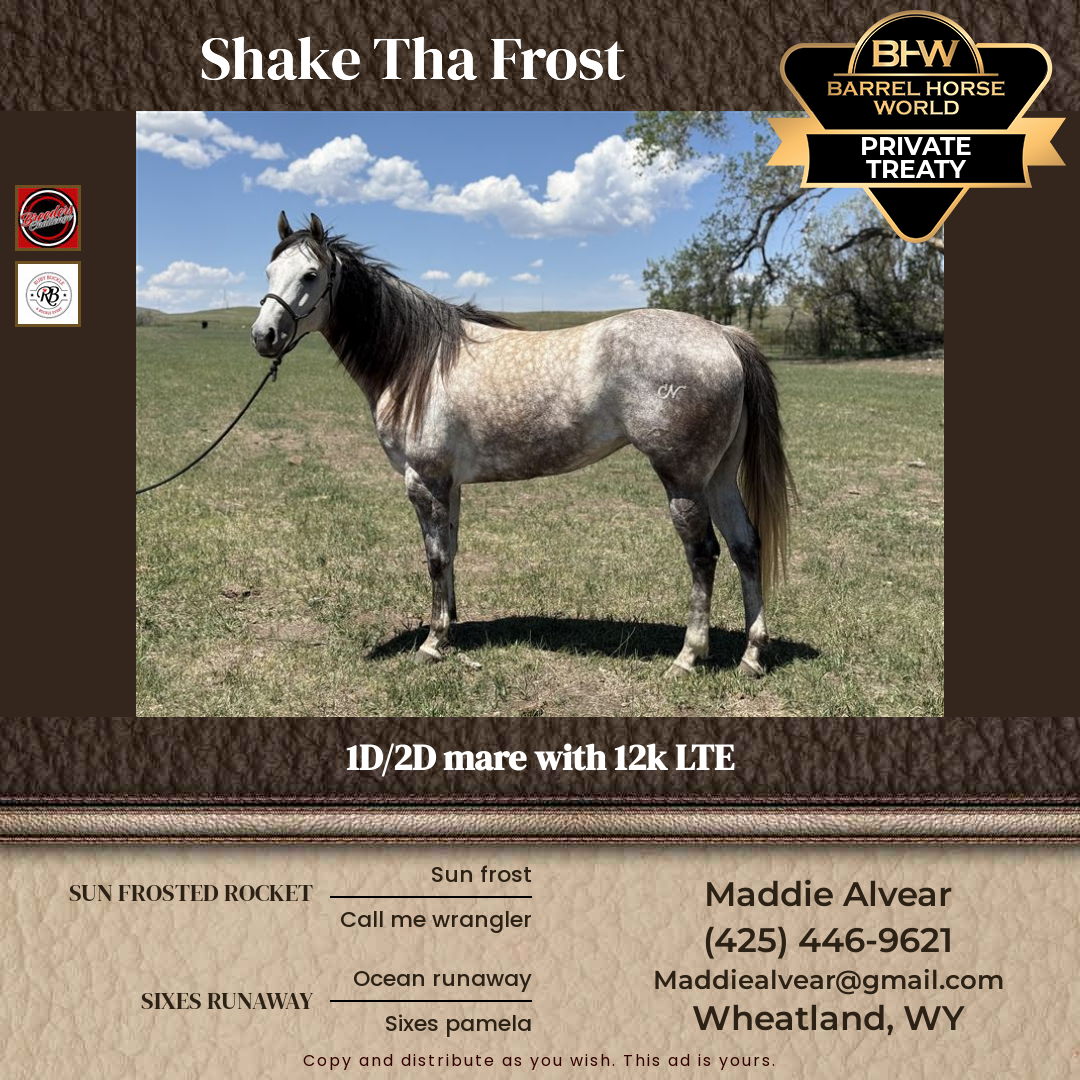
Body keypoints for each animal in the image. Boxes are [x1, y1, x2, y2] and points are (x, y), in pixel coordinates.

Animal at [251, 212, 796, 678]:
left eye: (311, 275)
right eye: (270, 269)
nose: (264, 335)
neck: (418, 362)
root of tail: (720, 334)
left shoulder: (424, 481)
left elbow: (434, 557)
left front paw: (432, 643)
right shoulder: (450, 484)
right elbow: (451, 550)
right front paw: (451, 628)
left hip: (683, 478)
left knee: (703, 554)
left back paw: (688, 656)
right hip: (718, 476)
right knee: (746, 546)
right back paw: (751, 656)